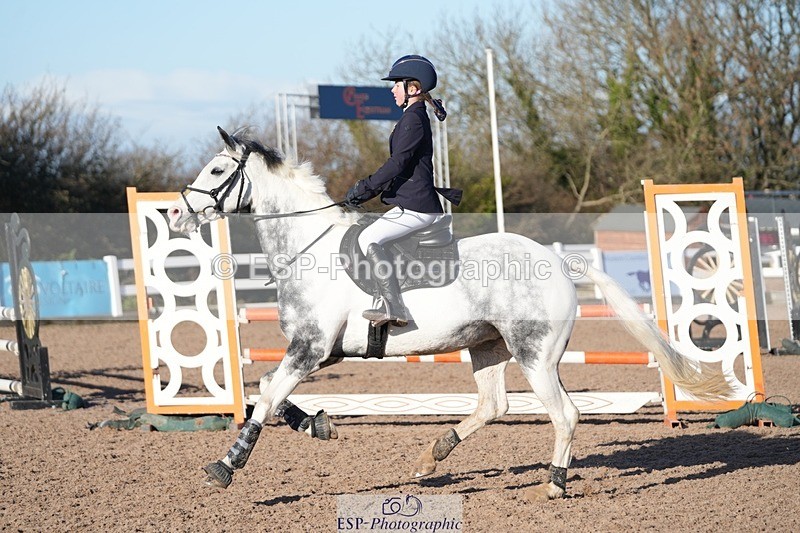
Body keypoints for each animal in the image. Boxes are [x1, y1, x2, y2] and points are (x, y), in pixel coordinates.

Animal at [167, 127, 733, 501]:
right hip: (485, 347)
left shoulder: (309, 349)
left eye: (217, 170)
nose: (174, 213)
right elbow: (268, 390)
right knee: (494, 406)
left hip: (536, 356)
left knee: (564, 414)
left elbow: (265, 397)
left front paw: (226, 466)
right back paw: (430, 457)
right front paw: (318, 426)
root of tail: (556, 260)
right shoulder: (320, 353)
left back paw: (554, 484)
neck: (310, 247)